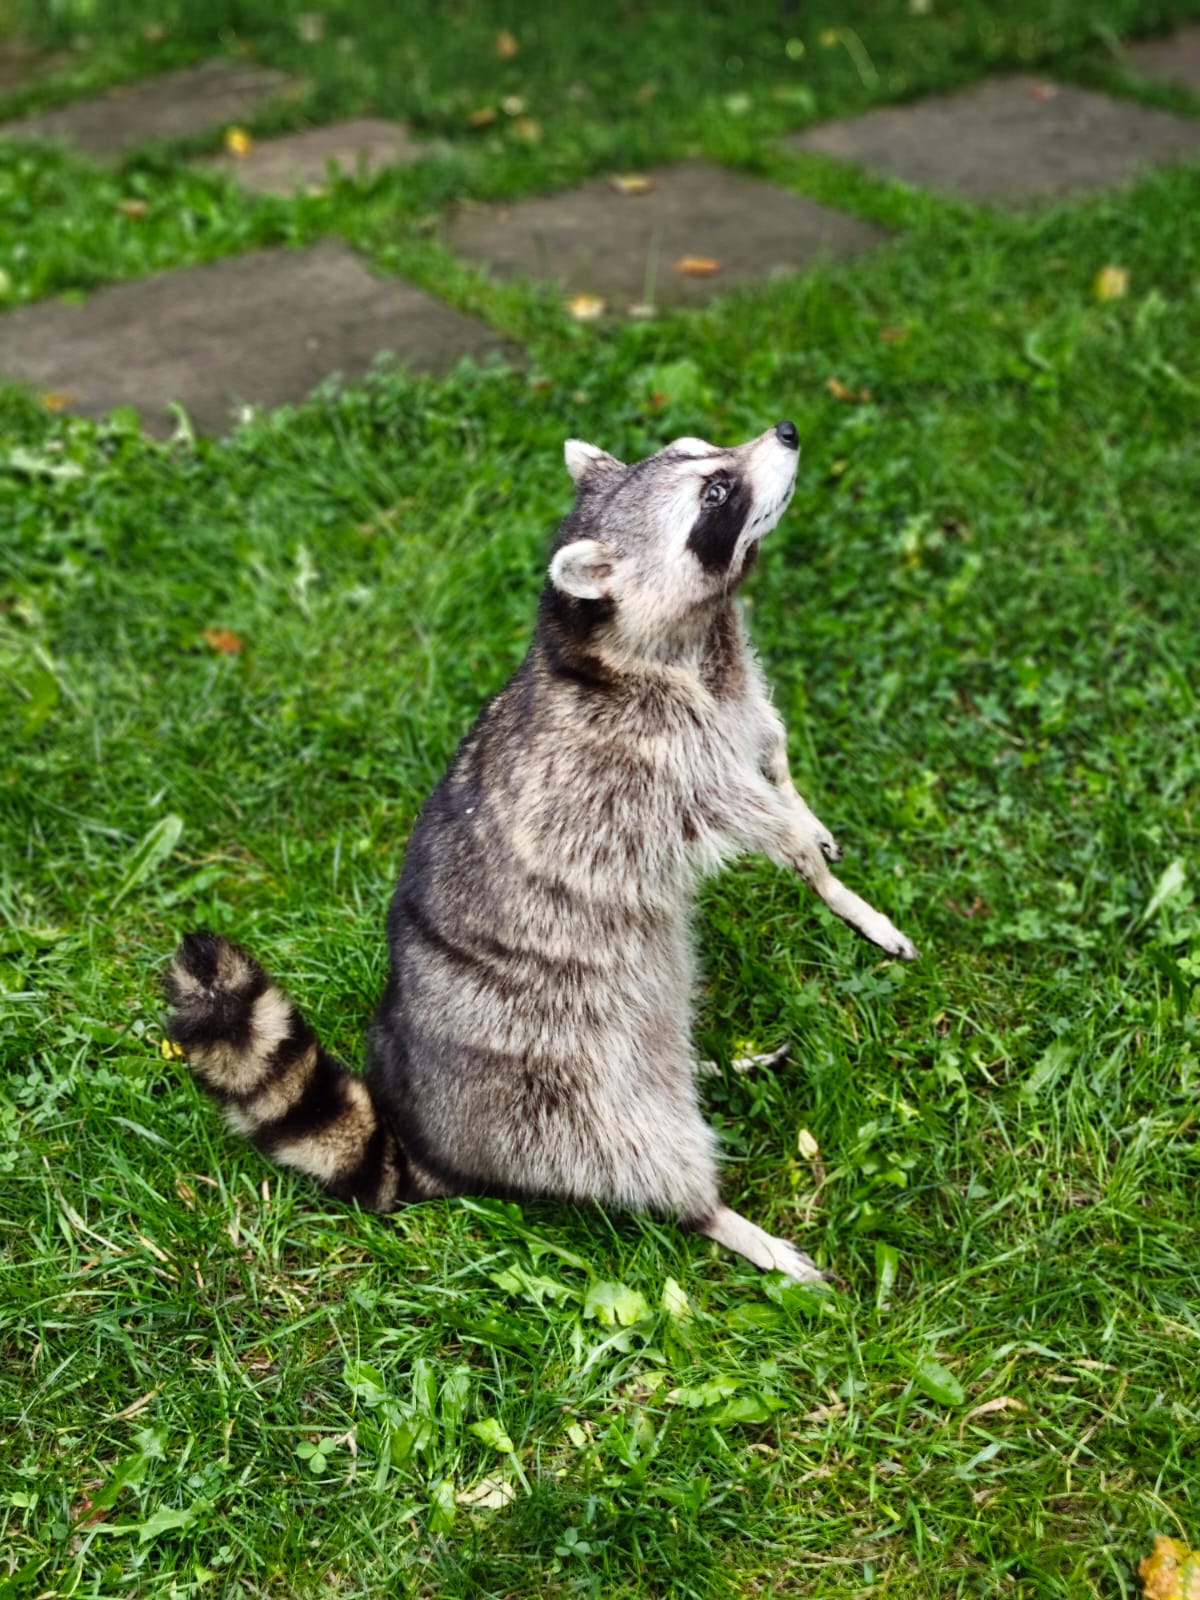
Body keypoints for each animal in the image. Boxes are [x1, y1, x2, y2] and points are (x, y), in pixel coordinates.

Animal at [166, 421, 917, 1282]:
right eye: (716, 493)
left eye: (704, 445)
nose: (787, 430)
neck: (663, 640)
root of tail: (434, 1144)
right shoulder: (649, 762)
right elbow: (737, 810)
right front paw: (817, 868)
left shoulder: (732, 696)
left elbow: (769, 746)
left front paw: (813, 834)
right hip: (553, 1078)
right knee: (634, 1145)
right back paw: (720, 1216)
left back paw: (706, 1065)